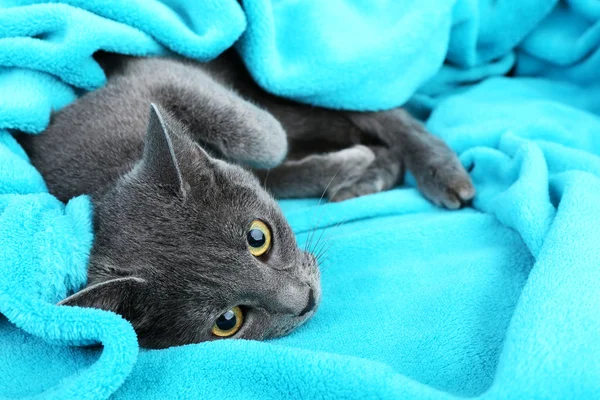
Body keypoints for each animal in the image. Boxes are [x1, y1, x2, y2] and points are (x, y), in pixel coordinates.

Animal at [17, 50, 474, 348]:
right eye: (227, 321)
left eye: (258, 238)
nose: (306, 300)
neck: (112, 168)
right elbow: (275, 169)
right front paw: (352, 165)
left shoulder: (154, 75)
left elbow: (267, 138)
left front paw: (356, 160)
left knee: (373, 111)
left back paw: (440, 174)